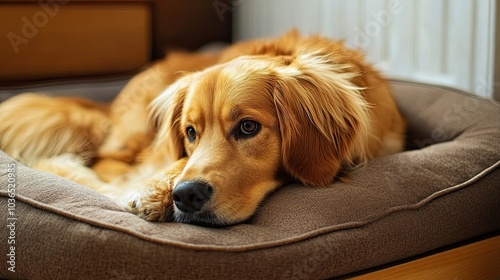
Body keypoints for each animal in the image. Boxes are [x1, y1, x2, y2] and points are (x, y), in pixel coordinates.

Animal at [0, 30, 406, 226]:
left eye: (248, 127)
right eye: (190, 133)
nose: (186, 196)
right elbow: (175, 164)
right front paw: (152, 192)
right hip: (133, 134)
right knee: (105, 161)